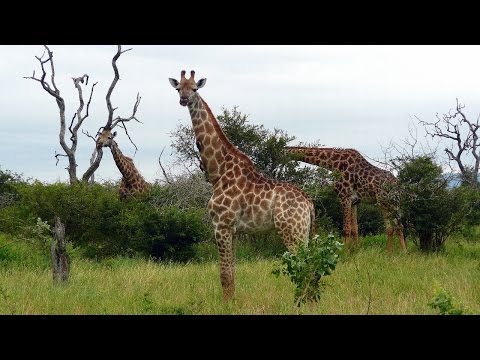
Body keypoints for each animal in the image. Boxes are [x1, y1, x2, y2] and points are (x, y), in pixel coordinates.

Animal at [169, 70, 316, 300]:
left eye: (194, 88)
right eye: (178, 88)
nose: (183, 99)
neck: (218, 171)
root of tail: (308, 203)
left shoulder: (221, 225)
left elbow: (224, 275)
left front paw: (226, 304)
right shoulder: (234, 230)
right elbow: (233, 273)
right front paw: (232, 302)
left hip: (292, 231)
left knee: (306, 266)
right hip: (303, 231)